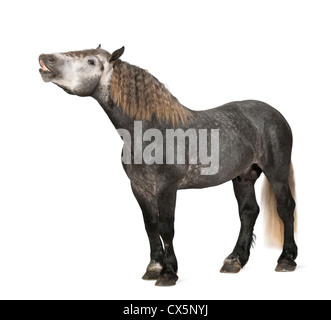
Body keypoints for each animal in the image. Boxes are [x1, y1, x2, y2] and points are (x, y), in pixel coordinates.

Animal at [39, 44, 298, 284]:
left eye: (91, 61)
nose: (45, 58)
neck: (150, 131)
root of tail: (276, 114)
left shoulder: (166, 187)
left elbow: (166, 227)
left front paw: (168, 273)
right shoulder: (140, 188)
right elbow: (151, 226)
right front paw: (153, 268)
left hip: (276, 173)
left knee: (285, 208)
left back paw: (286, 260)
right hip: (243, 176)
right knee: (248, 212)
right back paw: (234, 260)